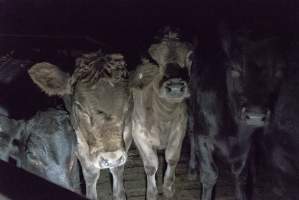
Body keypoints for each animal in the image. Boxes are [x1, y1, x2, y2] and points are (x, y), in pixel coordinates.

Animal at [27, 50, 132, 200]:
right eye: (80, 107)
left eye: (128, 101)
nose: (111, 158)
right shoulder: (77, 138)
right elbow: (91, 174)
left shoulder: (127, 133)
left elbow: (117, 170)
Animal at [131, 28, 195, 200]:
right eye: (155, 61)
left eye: (189, 57)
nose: (175, 87)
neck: (164, 116)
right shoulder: (139, 134)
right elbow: (150, 166)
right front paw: (151, 193)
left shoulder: (179, 130)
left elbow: (172, 159)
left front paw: (168, 188)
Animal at [189, 27, 288, 200]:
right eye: (234, 69)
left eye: (278, 71)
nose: (255, 115)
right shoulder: (202, 136)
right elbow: (209, 175)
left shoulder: (247, 143)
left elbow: (240, 175)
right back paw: (192, 169)